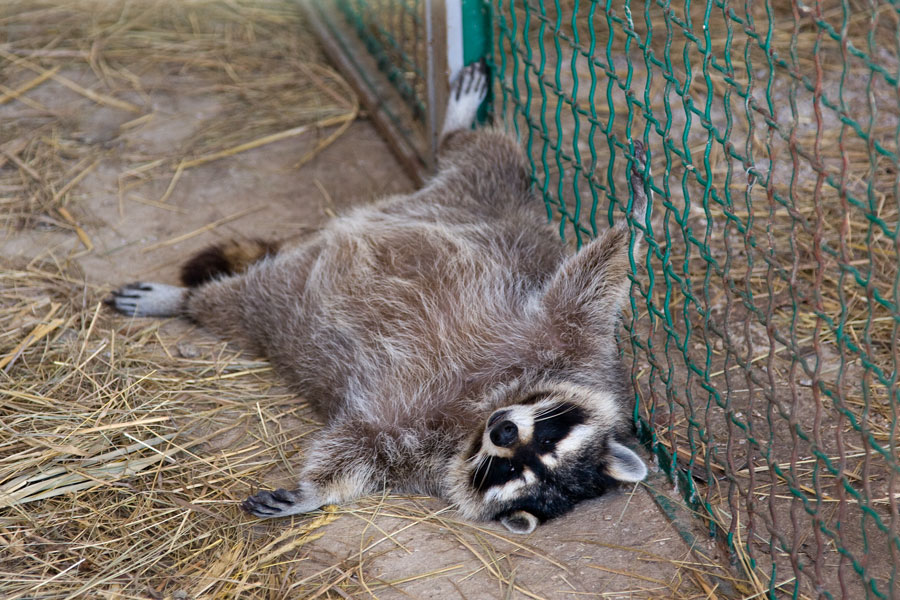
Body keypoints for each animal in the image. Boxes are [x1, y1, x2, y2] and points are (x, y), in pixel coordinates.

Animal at [109, 62, 652, 536]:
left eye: (509, 474)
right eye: (546, 435)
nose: (499, 431)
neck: (491, 397)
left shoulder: (413, 443)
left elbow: (360, 443)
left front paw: (315, 492)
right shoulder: (568, 341)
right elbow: (593, 278)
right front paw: (637, 218)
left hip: (281, 307)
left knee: (236, 307)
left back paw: (192, 302)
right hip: (482, 200)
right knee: (491, 155)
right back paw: (454, 128)